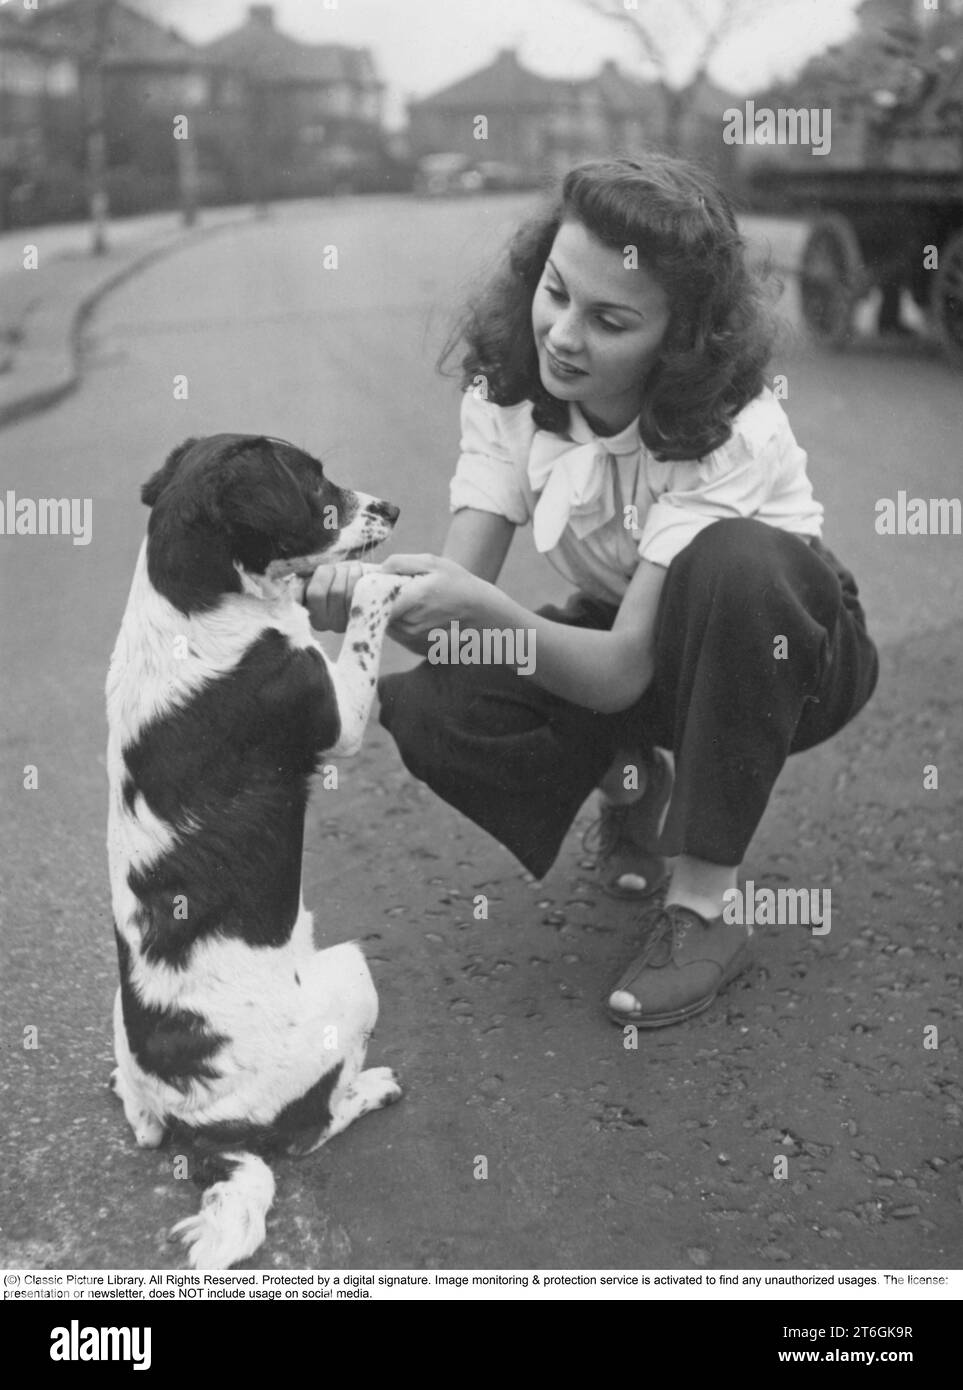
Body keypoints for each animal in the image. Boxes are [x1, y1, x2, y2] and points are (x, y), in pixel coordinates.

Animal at [107, 433, 408, 1273]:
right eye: (316, 485)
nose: (393, 507)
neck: (193, 601)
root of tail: (201, 1132)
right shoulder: (338, 715)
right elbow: (365, 617)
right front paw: (379, 582)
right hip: (351, 975)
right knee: (308, 1131)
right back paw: (369, 1089)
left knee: (145, 1116)